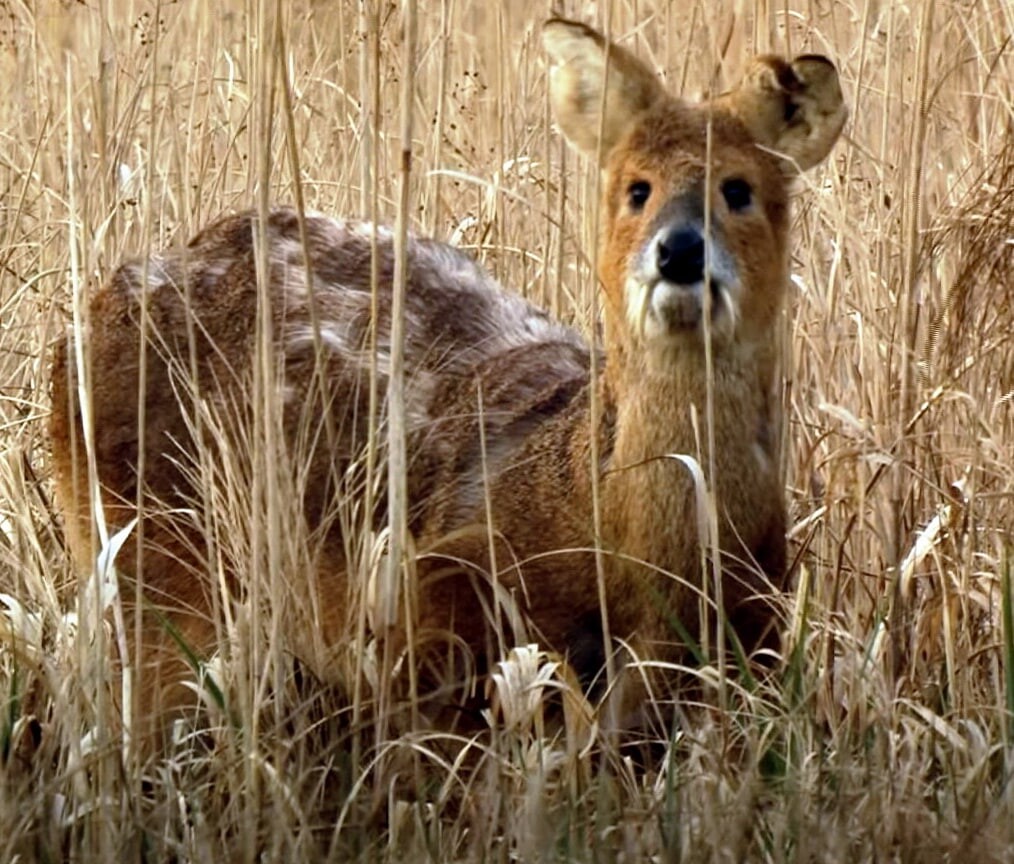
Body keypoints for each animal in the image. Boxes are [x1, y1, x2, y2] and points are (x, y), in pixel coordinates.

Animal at [47, 18, 843, 742]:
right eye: (636, 188)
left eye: (738, 189)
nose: (679, 250)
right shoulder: (432, 600)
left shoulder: (758, 630)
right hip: (149, 555)